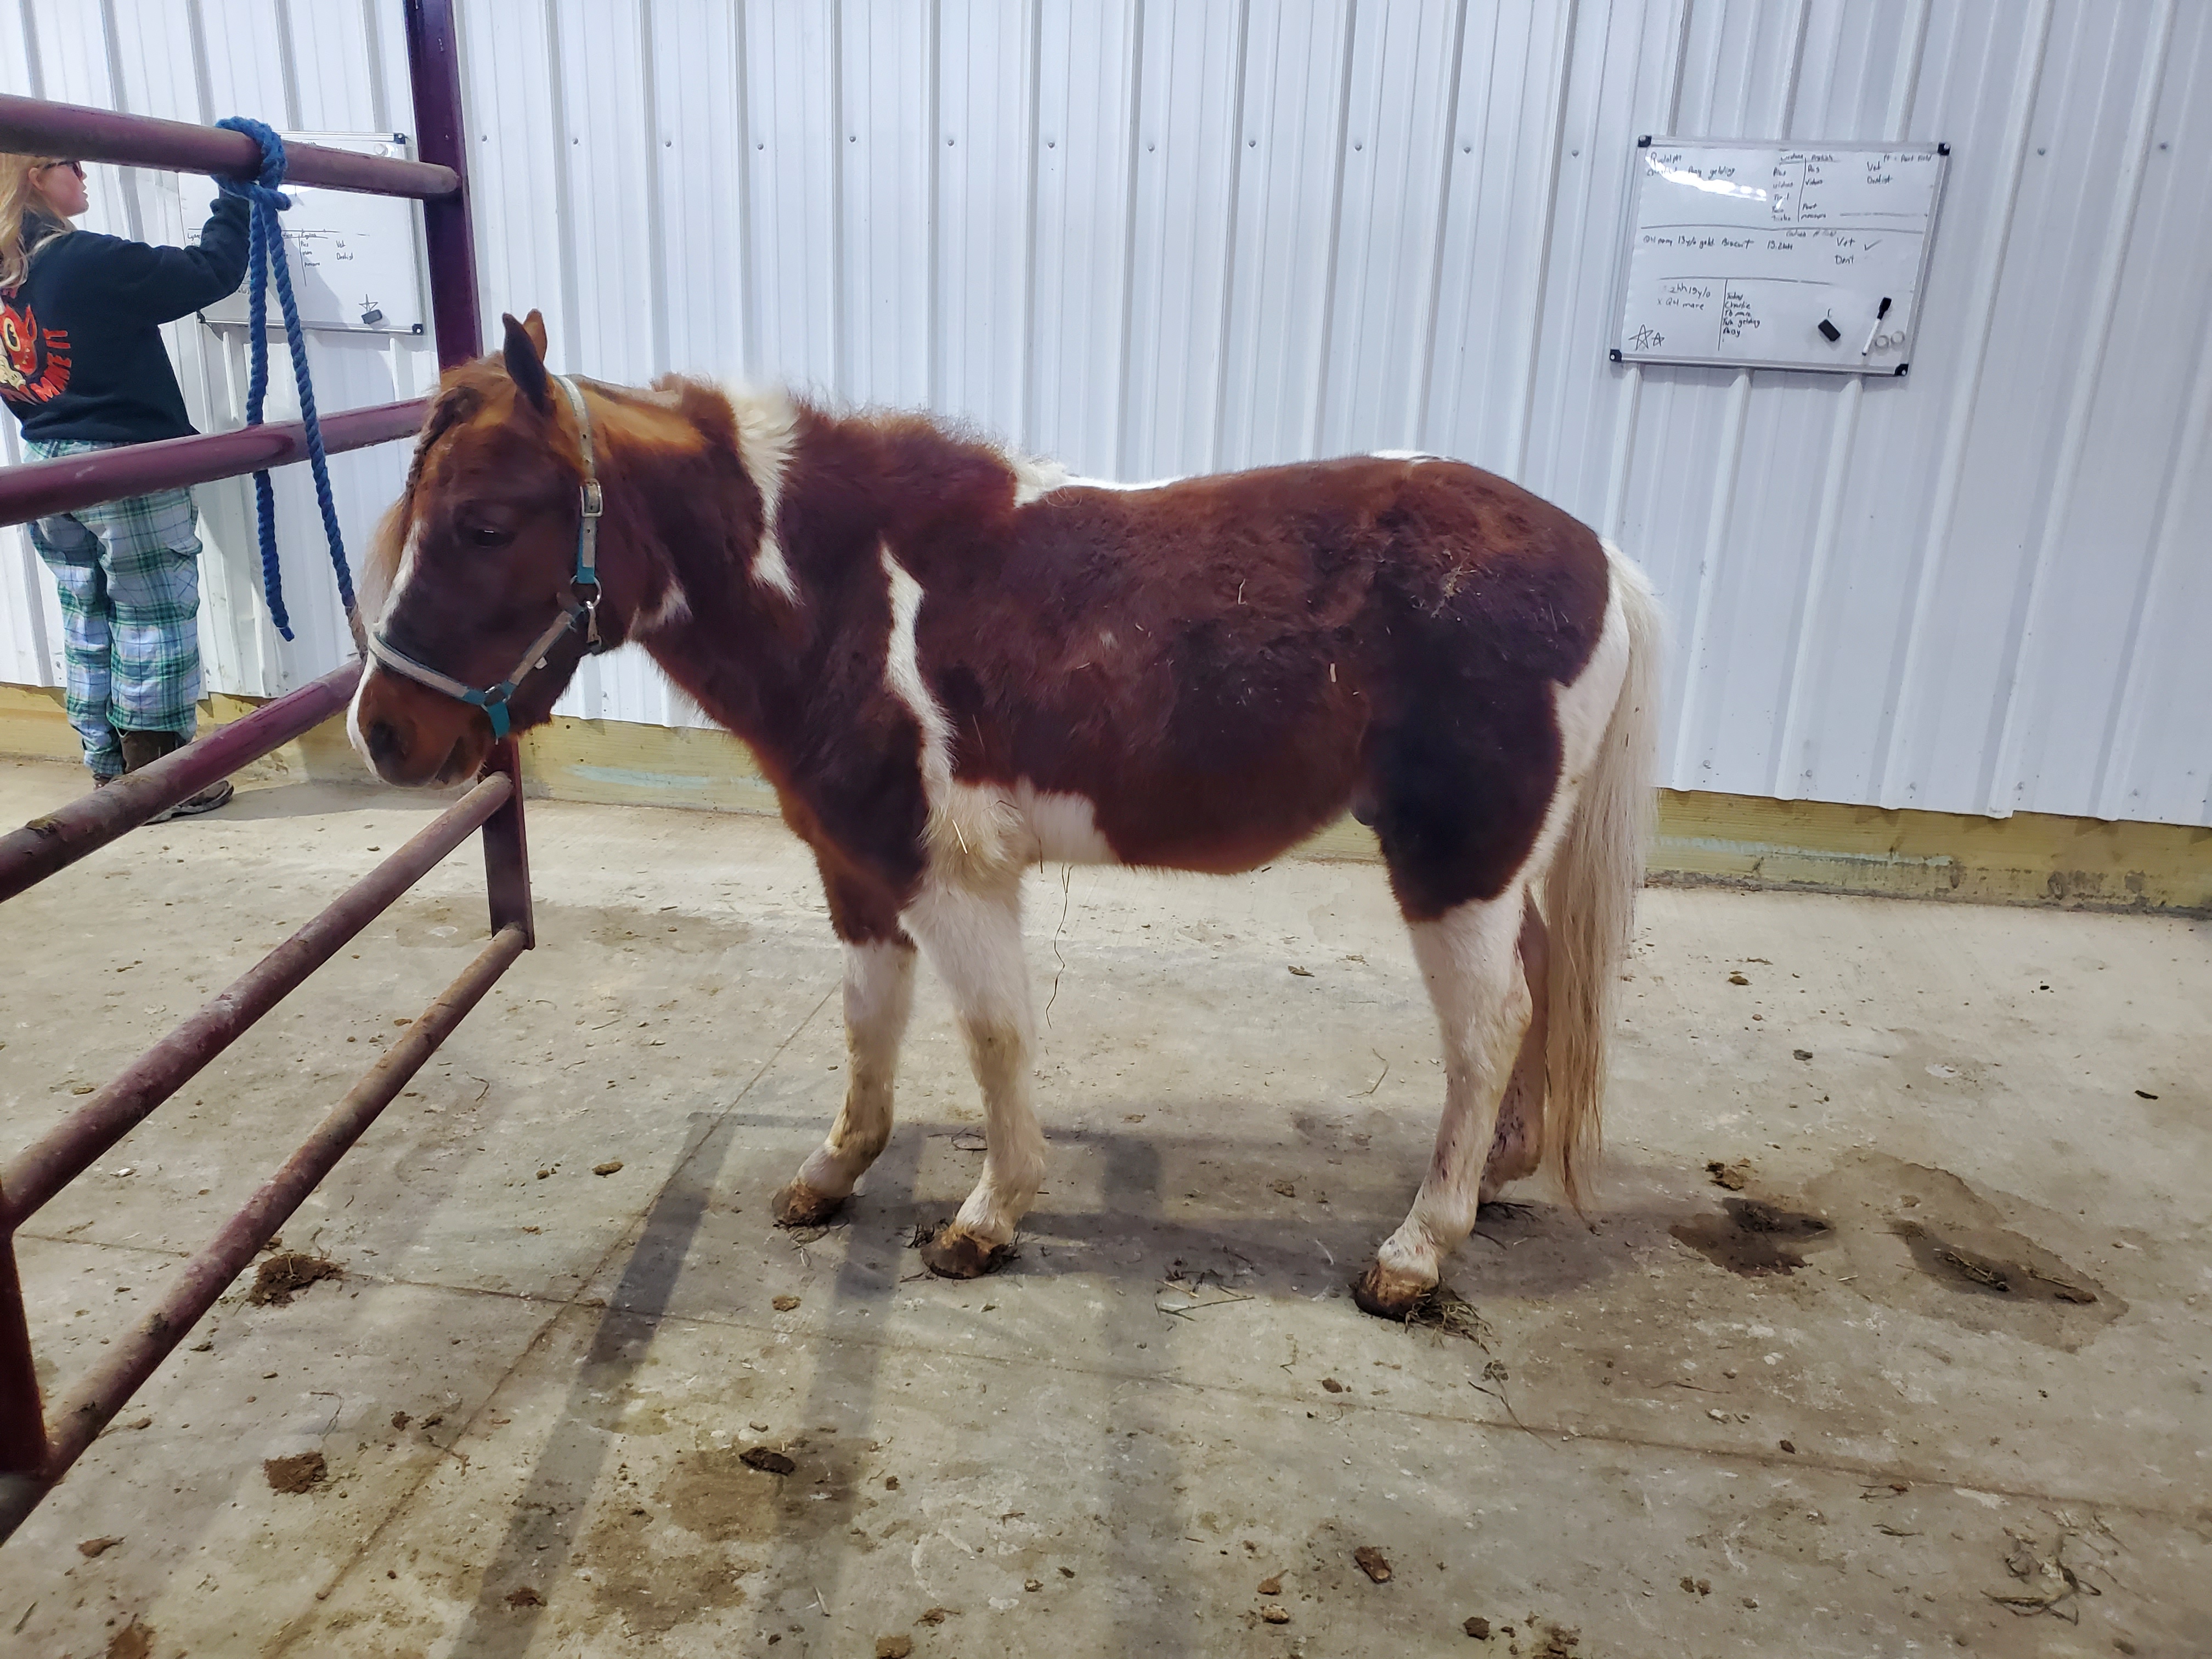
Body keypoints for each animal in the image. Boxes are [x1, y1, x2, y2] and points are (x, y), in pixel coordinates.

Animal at [351, 312, 1661, 1320]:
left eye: (484, 523)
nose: (382, 731)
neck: (848, 591)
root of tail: (1601, 553)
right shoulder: (858, 867)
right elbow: (868, 1023)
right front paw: (832, 1172)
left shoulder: (949, 873)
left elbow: (993, 1038)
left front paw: (987, 1217)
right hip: (1493, 863)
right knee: (1537, 986)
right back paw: (1495, 1175)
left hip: (1455, 864)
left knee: (1488, 1024)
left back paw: (1416, 1249)